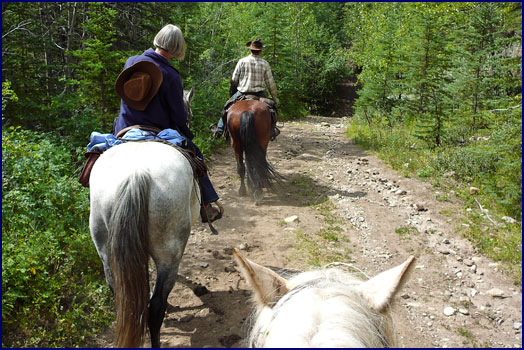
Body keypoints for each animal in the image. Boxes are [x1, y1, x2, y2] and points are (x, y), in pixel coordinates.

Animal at [89, 89, 198, 346]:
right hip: (169, 251)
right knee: (156, 306)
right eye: (188, 112)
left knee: (119, 294)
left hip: (104, 246)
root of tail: (135, 174)